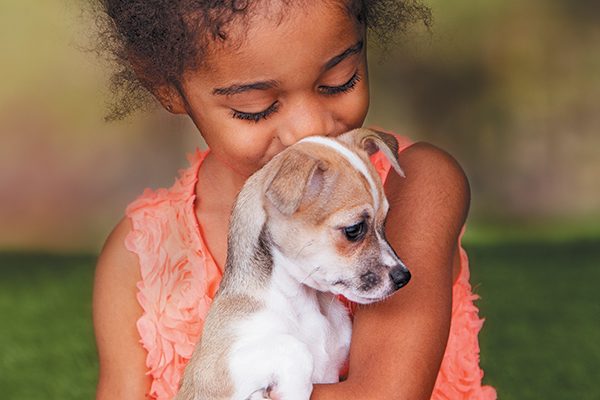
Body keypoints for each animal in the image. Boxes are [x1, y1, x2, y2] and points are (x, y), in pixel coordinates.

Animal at [175, 129, 412, 400]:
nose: (404, 277)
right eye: (354, 230)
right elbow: (294, 347)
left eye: (385, 222)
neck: (304, 303)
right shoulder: (214, 373)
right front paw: (294, 388)